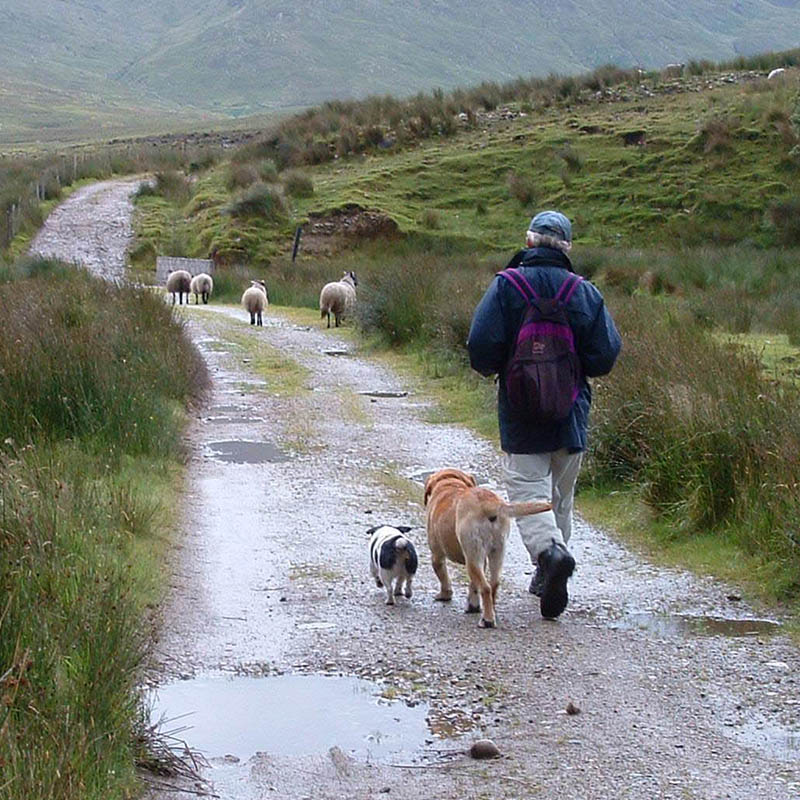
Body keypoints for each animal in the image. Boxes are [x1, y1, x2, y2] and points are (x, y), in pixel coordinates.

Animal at [424, 466, 552, 628]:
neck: (449, 484)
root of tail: (490, 505)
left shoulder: (437, 555)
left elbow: (444, 578)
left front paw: (444, 595)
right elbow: (473, 586)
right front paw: (473, 606)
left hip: (472, 559)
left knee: (485, 587)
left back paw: (487, 620)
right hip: (496, 552)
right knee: (494, 584)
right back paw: (491, 612)